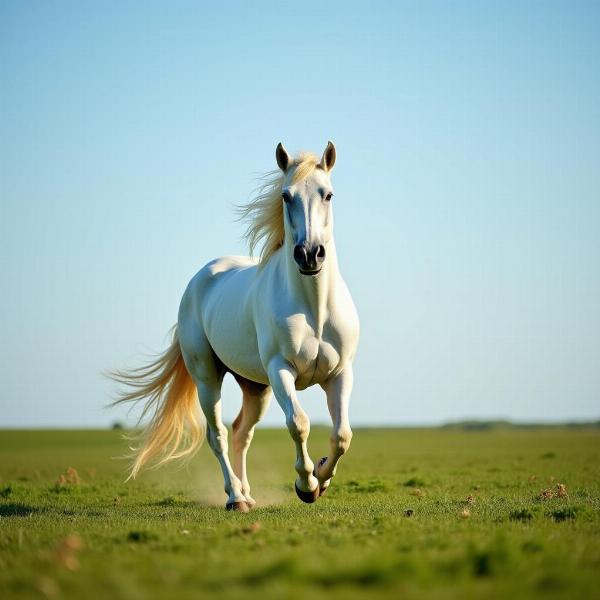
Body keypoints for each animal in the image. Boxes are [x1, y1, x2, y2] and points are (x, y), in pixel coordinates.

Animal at [110, 141, 358, 510]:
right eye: (286, 196)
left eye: (328, 194)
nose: (309, 254)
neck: (314, 308)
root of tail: (200, 279)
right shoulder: (281, 371)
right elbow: (298, 424)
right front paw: (306, 485)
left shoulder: (339, 373)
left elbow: (341, 435)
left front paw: (321, 478)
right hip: (208, 378)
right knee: (219, 435)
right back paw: (235, 497)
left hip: (255, 387)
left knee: (242, 432)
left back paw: (248, 493)